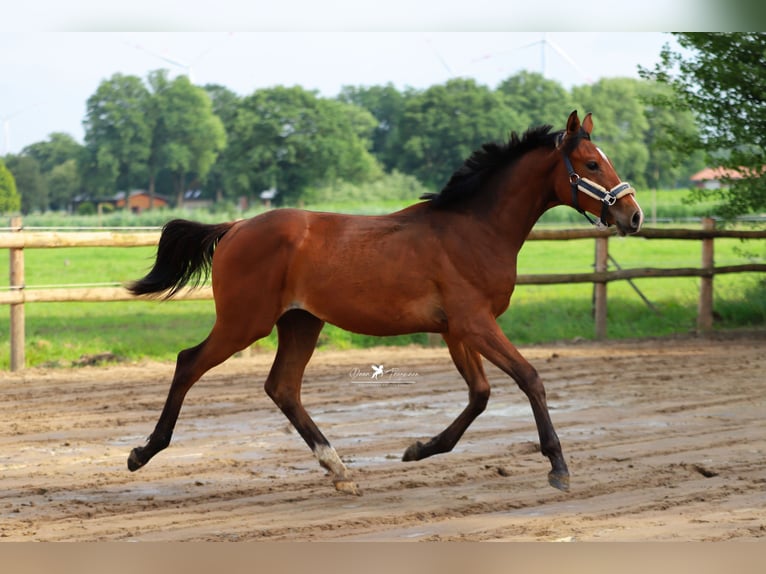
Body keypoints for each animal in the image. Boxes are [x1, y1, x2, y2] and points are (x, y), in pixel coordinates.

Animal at [129, 111, 644, 496]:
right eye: (591, 164)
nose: (633, 215)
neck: (474, 229)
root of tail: (235, 226)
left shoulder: (457, 330)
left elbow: (479, 395)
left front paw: (418, 449)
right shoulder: (475, 323)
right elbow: (529, 378)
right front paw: (558, 466)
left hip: (301, 322)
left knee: (283, 387)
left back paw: (339, 470)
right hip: (245, 322)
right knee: (189, 362)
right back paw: (142, 452)